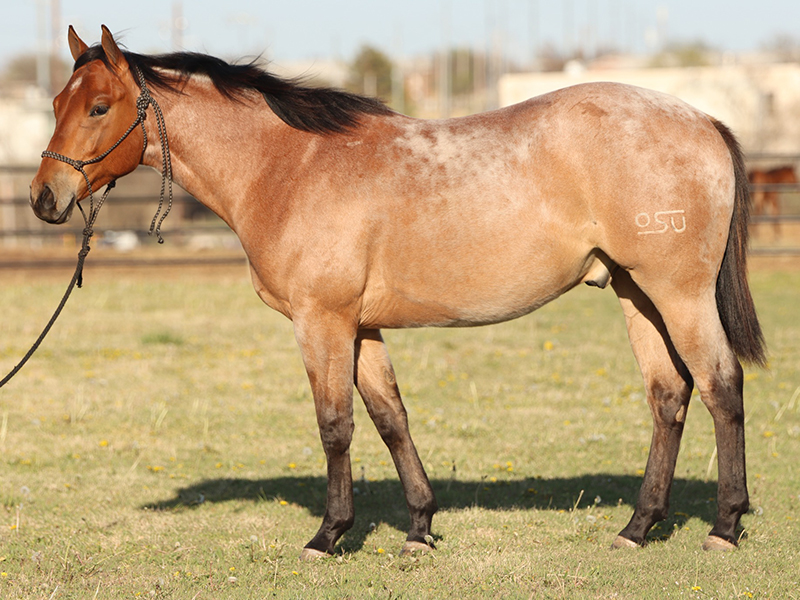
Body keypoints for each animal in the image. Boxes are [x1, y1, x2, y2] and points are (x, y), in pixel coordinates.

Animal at [28, 25, 764, 560]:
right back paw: (638, 528)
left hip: (678, 294)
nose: (44, 198)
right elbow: (390, 419)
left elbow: (335, 426)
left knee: (721, 385)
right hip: (635, 293)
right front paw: (419, 528)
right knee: (669, 396)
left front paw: (329, 536)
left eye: (99, 107)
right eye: (58, 104)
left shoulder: (321, 322)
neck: (287, 167)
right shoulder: (361, 326)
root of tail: (701, 118)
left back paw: (725, 526)